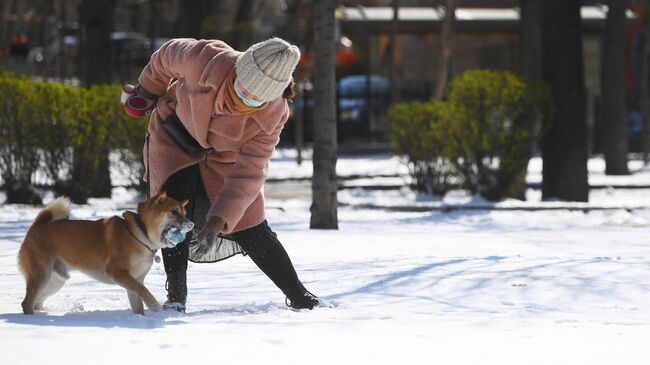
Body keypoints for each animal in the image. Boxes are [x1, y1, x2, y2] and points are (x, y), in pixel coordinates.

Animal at [16, 192, 191, 314]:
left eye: (185, 213)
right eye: (174, 212)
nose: (192, 224)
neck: (141, 234)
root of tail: (35, 227)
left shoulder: (134, 279)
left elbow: (138, 301)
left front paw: (140, 318)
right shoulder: (117, 272)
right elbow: (144, 291)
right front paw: (154, 305)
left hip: (55, 281)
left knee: (37, 302)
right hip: (41, 275)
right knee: (27, 303)